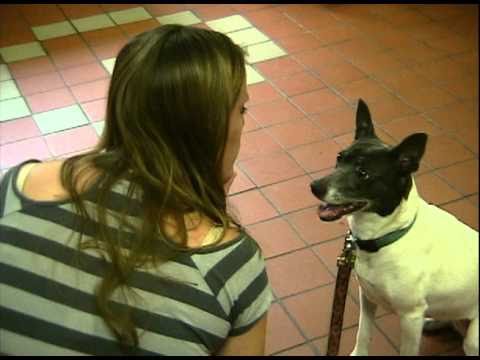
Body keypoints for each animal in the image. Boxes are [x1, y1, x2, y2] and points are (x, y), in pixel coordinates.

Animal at [310, 99, 478, 358]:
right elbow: (363, 334)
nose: (314, 186)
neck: (389, 236)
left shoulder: (410, 318)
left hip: (473, 339)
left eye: (363, 173)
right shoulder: (368, 296)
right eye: (339, 157)